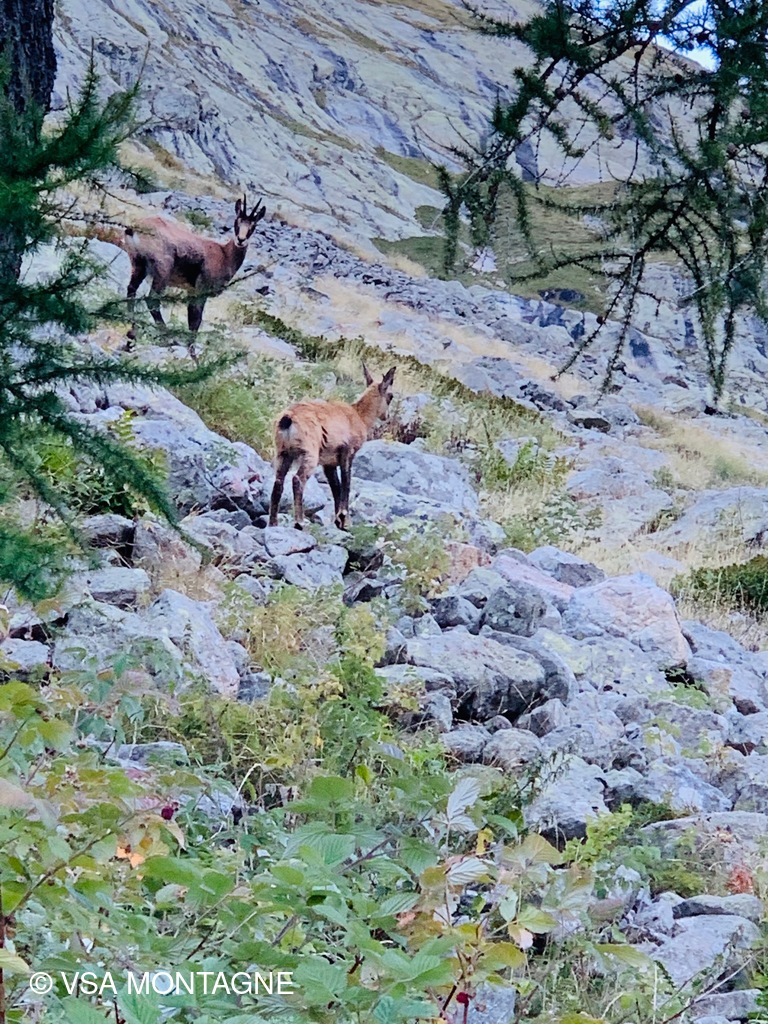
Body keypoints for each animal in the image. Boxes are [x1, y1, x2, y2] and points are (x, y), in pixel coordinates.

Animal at [117, 194, 266, 335]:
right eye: (237, 222)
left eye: (253, 226)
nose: (241, 240)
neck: (225, 254)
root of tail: (135, 228)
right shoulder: (202, 288)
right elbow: (196, 318)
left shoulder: (191, 290)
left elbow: (191, 317)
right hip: (163, 270)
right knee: (152, 299)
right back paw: (165, 331)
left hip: (138, 265)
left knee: (131, 289)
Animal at [269, 364, 396, 531]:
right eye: (390, 396)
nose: (386, 416)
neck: (359, 415)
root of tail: (287, 419)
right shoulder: (347, 452)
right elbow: (346, 483)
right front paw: (344, 519)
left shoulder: (329, 462)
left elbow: (335, 486)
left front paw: (338, 521)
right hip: (309, 453)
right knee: (297, 479)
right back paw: (299, 522)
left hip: (283, 453)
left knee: (278, 482)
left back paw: (273, 523)